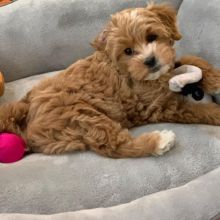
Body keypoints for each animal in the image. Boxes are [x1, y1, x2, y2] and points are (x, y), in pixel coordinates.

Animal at [0, 3, 220, 158]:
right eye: (128, 51)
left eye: (152, 37)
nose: (150, 61)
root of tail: (25, 109)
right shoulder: (157, 106)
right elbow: (195, 110)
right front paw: (214, 112)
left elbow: (191, 60)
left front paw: (214, 77)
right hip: (81, 114)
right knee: (114, 146)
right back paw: (160, 141)